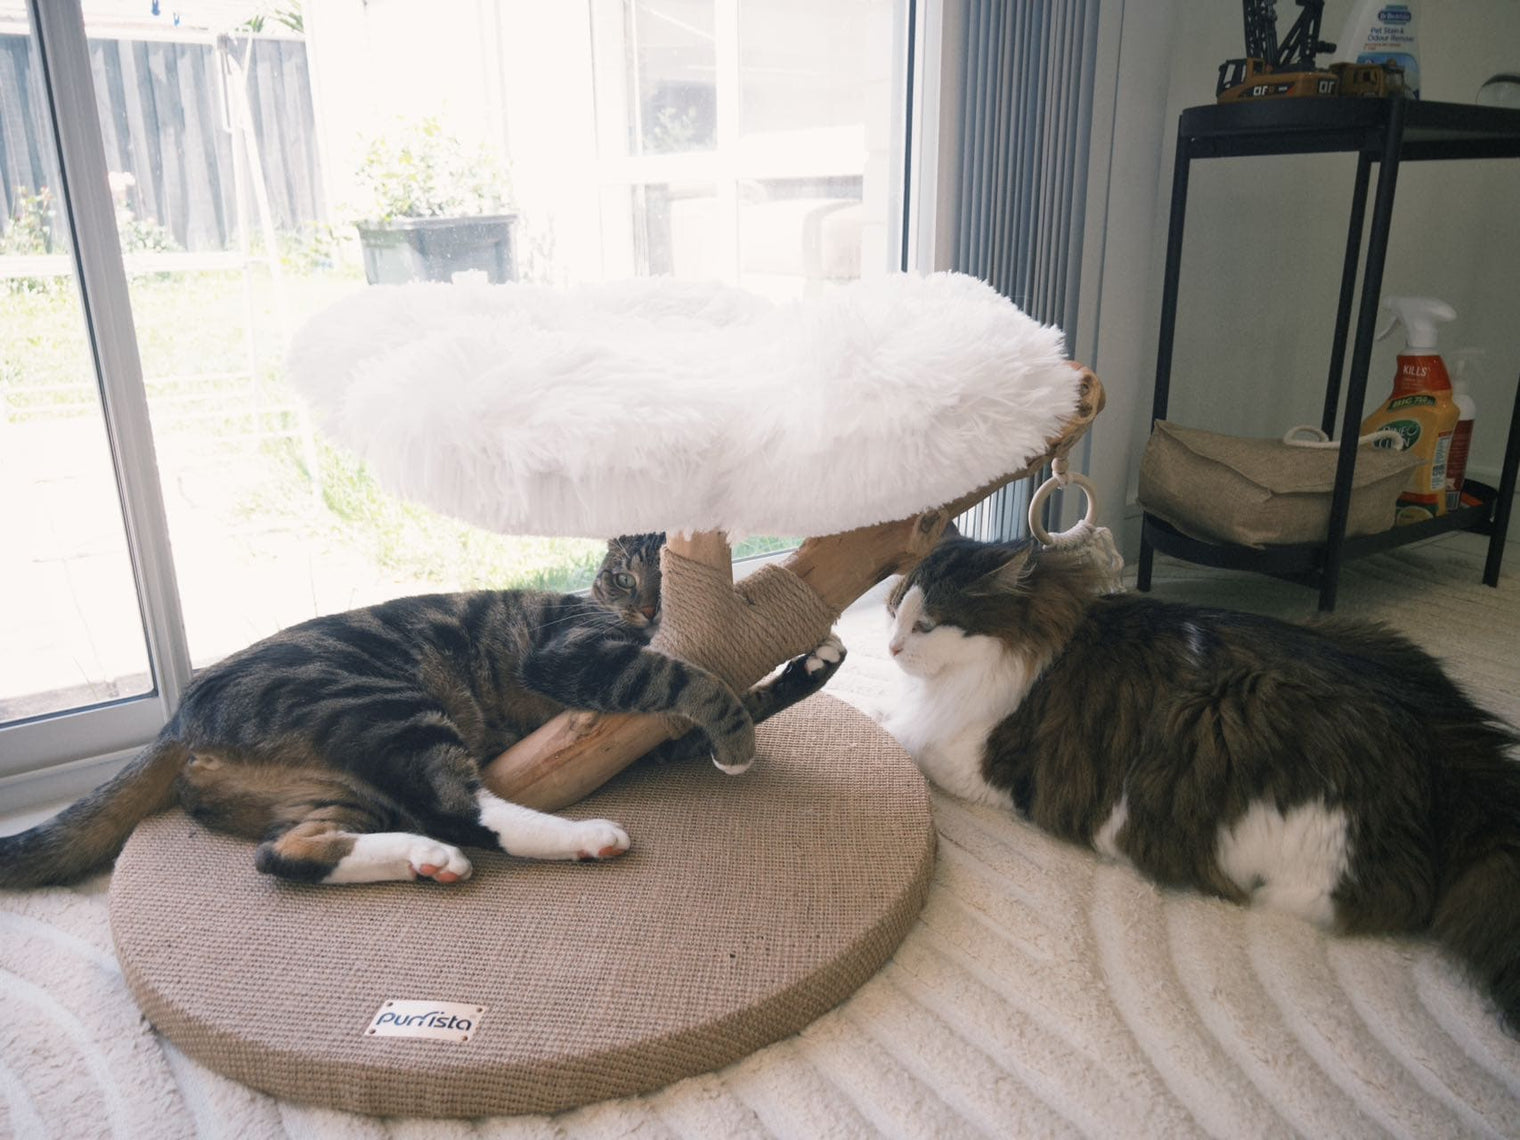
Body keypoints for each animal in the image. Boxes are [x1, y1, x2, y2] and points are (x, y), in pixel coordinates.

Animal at [0, 535, 845, 893]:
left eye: (661, 576)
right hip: (386, 704)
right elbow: (686, 677)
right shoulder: (574, 657)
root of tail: (179, 717)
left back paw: (420, 861)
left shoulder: (651, 740)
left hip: (324, 788)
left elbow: (749, 693)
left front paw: (816, 659)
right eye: (621, 575)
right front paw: (735, 738)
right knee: (459, 806)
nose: (645, 607)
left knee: (282, 854)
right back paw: (581, 838)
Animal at [881, 541, 1520, 1033]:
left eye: (926, 624)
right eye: (893, 611)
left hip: (1236, 730)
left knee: (1371, 898)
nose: (889, 647)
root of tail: (1447, 745)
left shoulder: (983, 761)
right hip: (1361, 631)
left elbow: (909, 741)